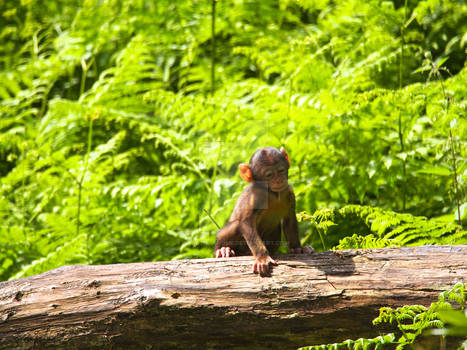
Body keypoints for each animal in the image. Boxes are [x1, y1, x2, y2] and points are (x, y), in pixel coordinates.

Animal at [216, 146, 314, 274]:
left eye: (281, 170)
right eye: (269, 175)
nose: (279, 180)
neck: (273, 194)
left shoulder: (289, 192)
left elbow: (290, 219)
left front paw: (298, 248)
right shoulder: (255, 196)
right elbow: (247, 222)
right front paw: (262, 258)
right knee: (236, 226)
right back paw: (223, 249)